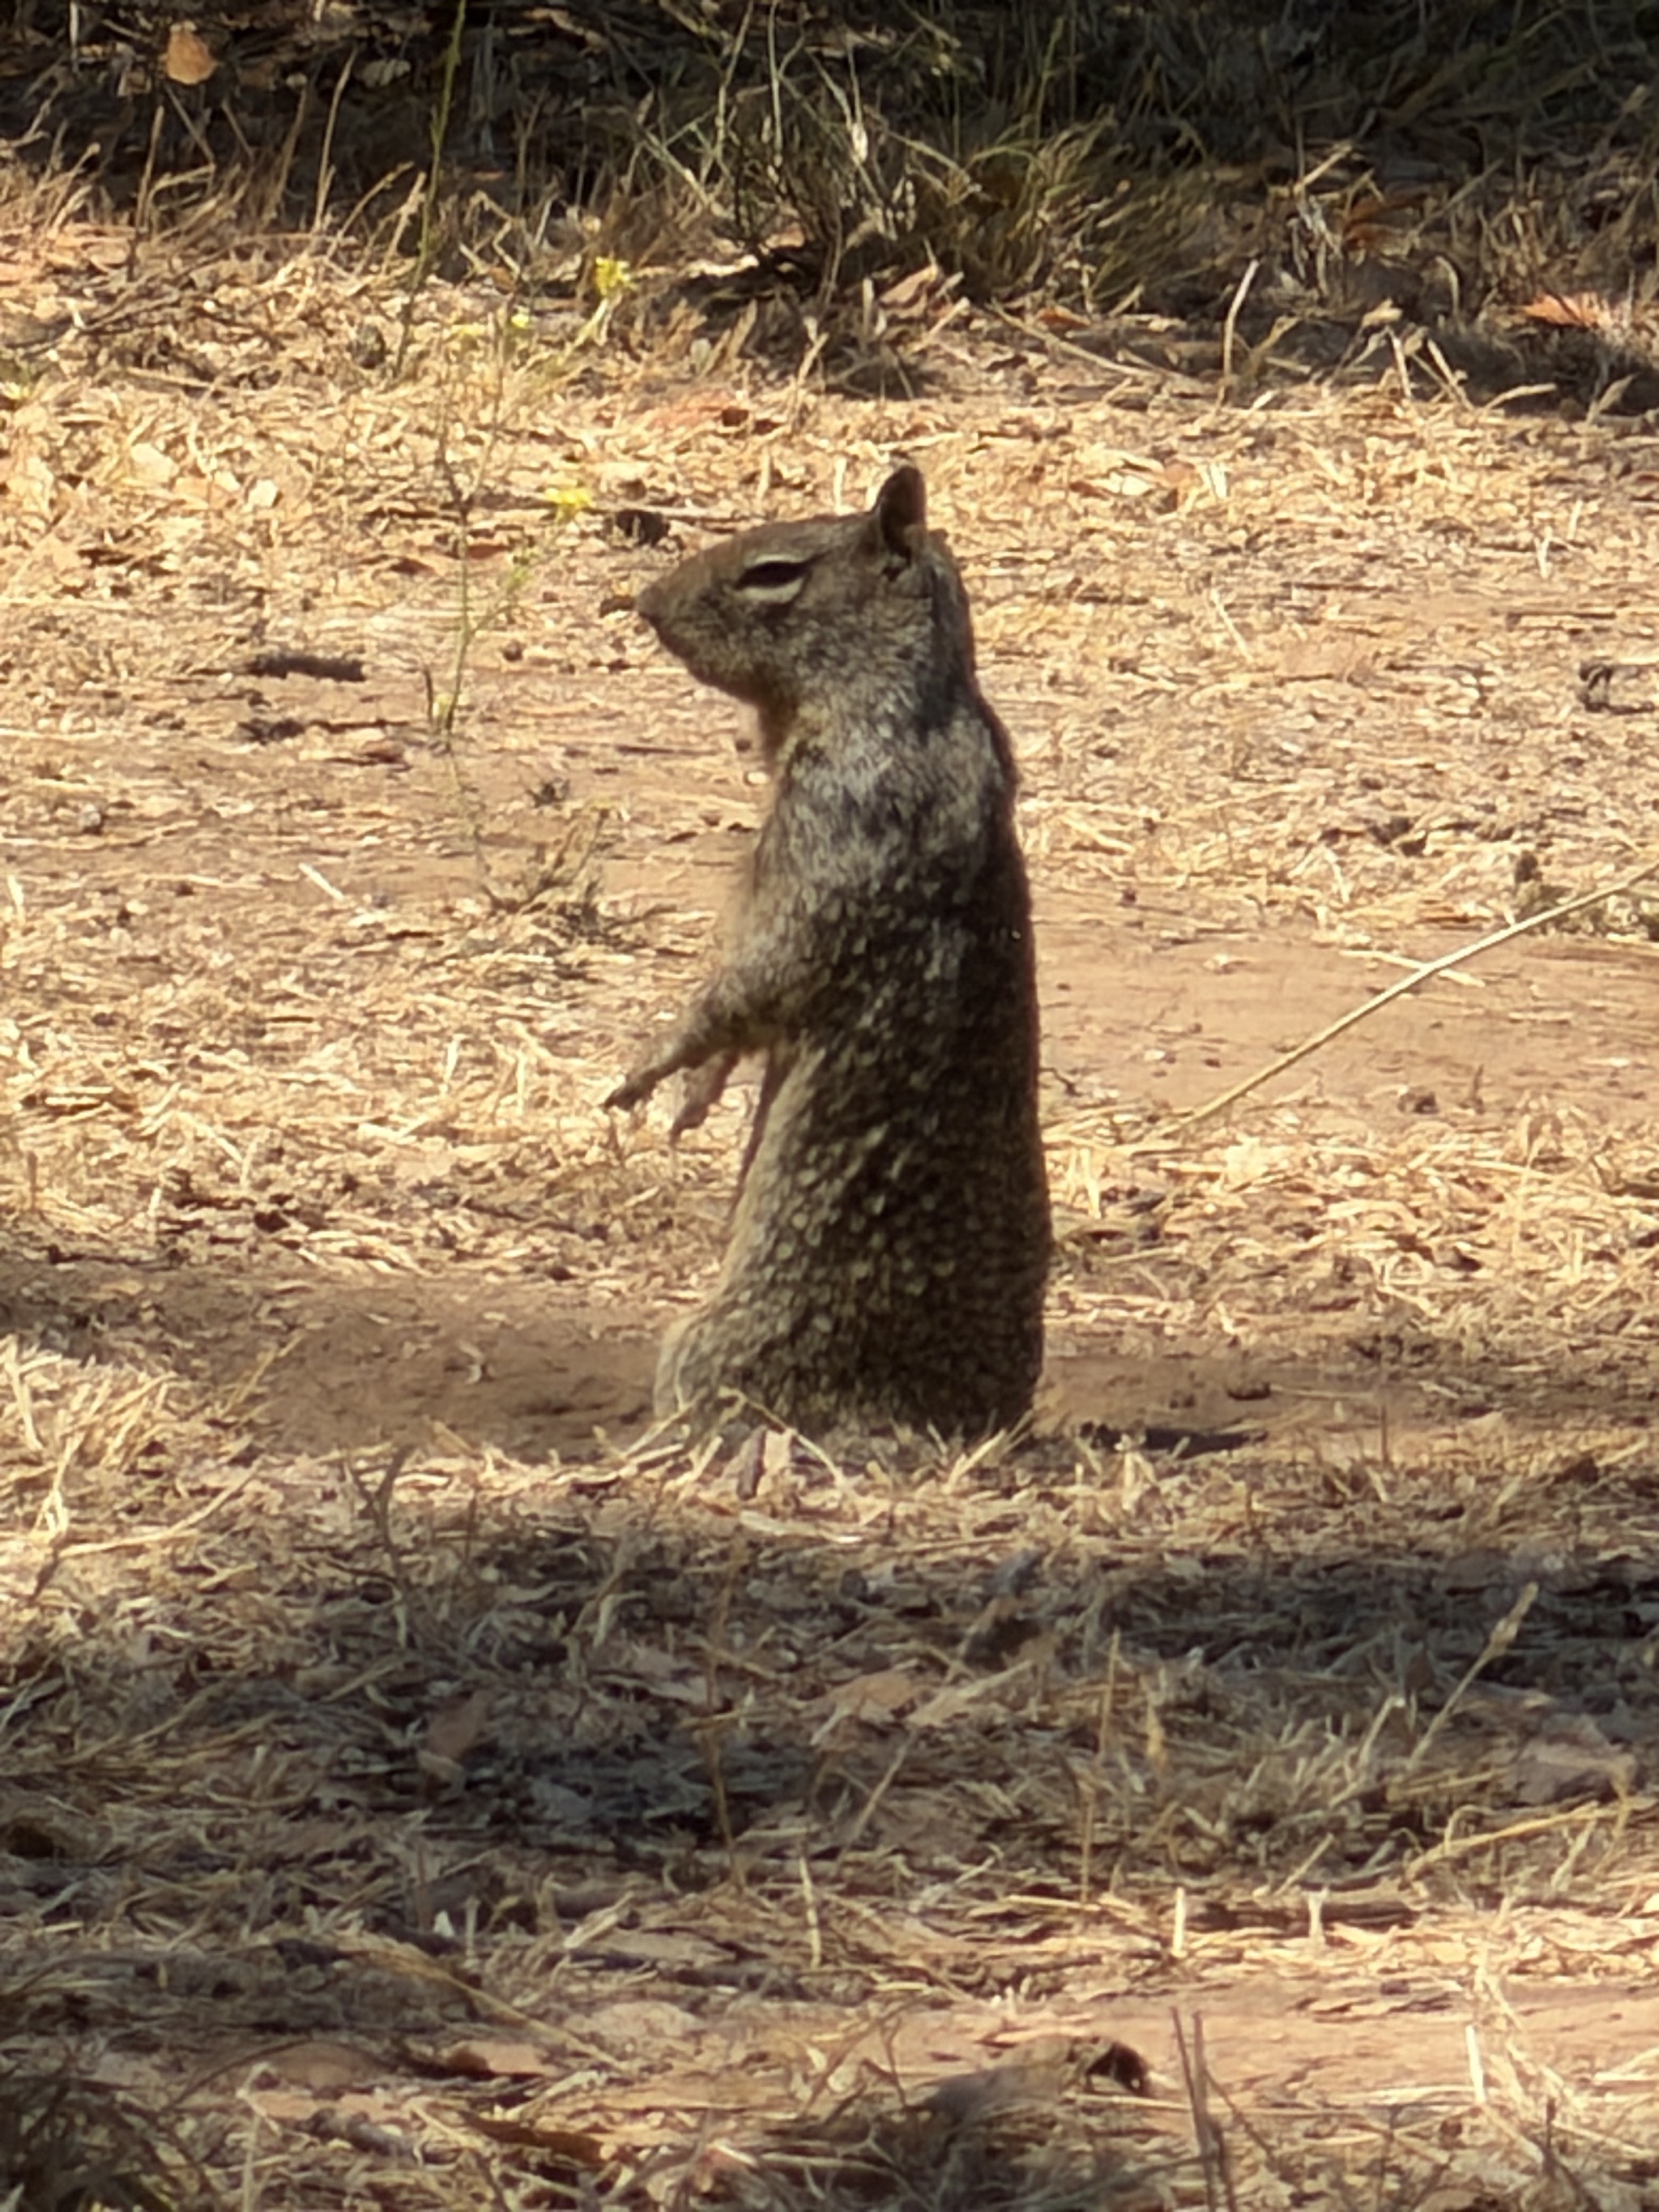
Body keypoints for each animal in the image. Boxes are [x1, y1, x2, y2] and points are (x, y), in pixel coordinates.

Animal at [608, 465, 1050, 1437]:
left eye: (775, 572)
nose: (646, 603)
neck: (910, 710)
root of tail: (965, 1425)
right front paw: (700, 1089)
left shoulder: (831, 846)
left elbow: (751, 982)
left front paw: (658, 1064)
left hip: (712, 1345)